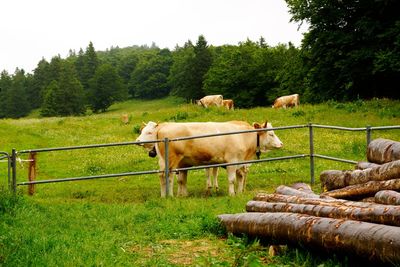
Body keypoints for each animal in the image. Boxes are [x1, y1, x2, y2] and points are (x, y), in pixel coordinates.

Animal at [136, 121, 282, 197]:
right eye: (271, 134)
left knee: (162, 176)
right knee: (169, 176)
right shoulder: (232, 162)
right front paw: (232, 194)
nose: (281, 144)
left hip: (164, 161)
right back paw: (170, 196)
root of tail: (164, 126)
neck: (244, 136)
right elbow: (232, 180)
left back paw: (164, 195)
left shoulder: (240, 163)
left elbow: (240, 177)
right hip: (172, 161)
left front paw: (240, 192)